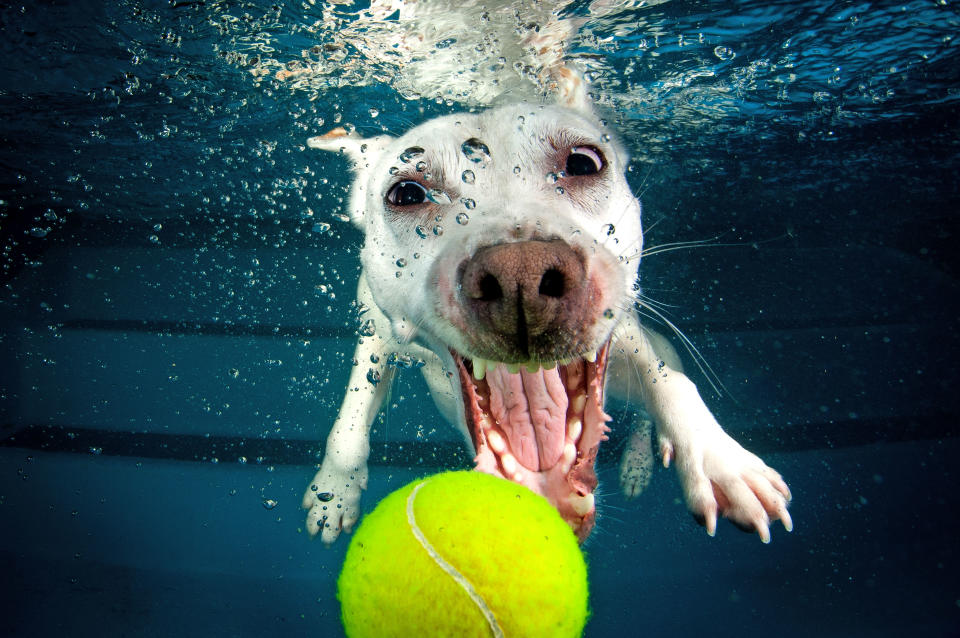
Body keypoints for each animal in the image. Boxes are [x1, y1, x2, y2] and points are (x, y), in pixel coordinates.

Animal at [296, 2, 792, 548]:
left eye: (584, 162)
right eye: (406, 193)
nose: (521, 278)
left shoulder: (627, 337)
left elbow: (670, 383)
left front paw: (717, 456)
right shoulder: (376, 332)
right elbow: (353, 412)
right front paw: (335, 489)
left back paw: (640, 461)